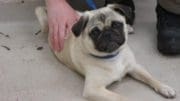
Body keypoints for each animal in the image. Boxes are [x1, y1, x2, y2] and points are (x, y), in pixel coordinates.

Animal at [35, 4, 176, 101]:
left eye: (116, 25)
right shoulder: (93, 89)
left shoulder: (135, 67)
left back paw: (129, 27)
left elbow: (150, 78)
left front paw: (165, 88)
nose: (107, 33)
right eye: (95, 32)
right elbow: (121, 98)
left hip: (79, 14)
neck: (112, 57)